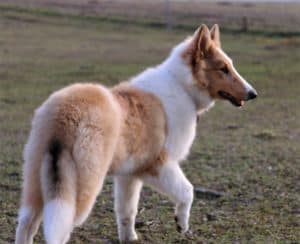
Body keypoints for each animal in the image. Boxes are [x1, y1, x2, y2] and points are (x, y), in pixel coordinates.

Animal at [15, 23, 256, 243]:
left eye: (230, 66)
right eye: (223, 69)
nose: (253, 94)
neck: (182, 85)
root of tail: (65, 114)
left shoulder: (128, 175)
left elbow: (127, 210)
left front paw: (129, 238)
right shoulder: (159, 164)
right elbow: (187, 191)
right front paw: (181, 223)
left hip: (37, 182)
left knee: (26, 224)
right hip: (80, 189)